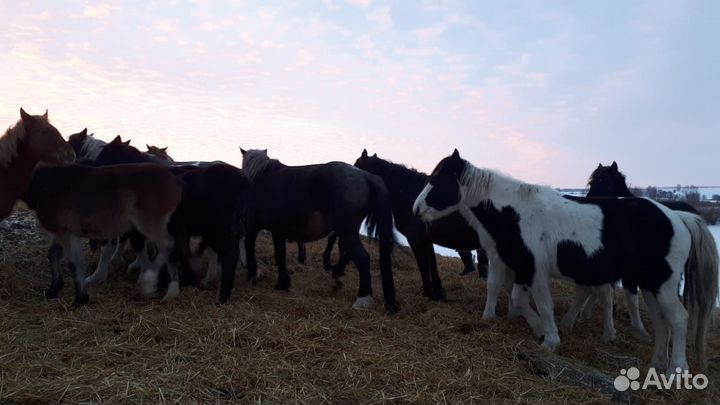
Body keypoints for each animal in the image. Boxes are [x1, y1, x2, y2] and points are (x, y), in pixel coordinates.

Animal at [23, 163, 183, 305]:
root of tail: (176, 182)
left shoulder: (66, 232)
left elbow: (74, 261)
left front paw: (79, 299)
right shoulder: (60, 232)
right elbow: (54, 253)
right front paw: (53, 290)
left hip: (149, 223)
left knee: (167, 244)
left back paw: (154, 284)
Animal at [240, 148, 398, 312]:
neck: (261, 179)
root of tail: (367, 176)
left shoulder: (268, 229)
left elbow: (268, 252)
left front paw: (265, 278)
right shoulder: (276, 231)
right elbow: (277, 254)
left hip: (346, 231)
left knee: (362, 258)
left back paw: (362, 298)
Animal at [413, 149, 718, 372]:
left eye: (439, 179)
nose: (416, 209)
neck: (516, 214)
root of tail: (678, 217)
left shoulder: (534, 271)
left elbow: (543, 305)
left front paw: (550, 340)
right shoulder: (523, 269)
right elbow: (518, 300)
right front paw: (539, 329)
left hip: (661, 285)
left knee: (679, 319)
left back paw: (677, 370)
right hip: (651, 286)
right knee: (661, 321)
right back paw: (656, 364)